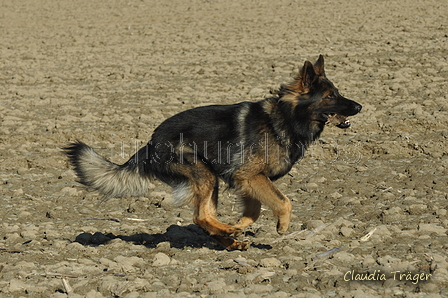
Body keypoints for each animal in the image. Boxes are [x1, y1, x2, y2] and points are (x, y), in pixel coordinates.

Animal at [65, 55, 362, 249]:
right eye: (330, 96)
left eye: (338, 92)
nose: (359, 107)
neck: (286, 118)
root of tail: (150, 143)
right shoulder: (249, 175)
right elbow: (284, 201)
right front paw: (281, 226)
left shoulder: (246, 180)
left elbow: (254, 211)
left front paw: (241, 225)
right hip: (203, 173)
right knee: (200, 216)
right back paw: (227, 232)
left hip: (211, 178)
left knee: (204, 218)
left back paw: (230, 238)